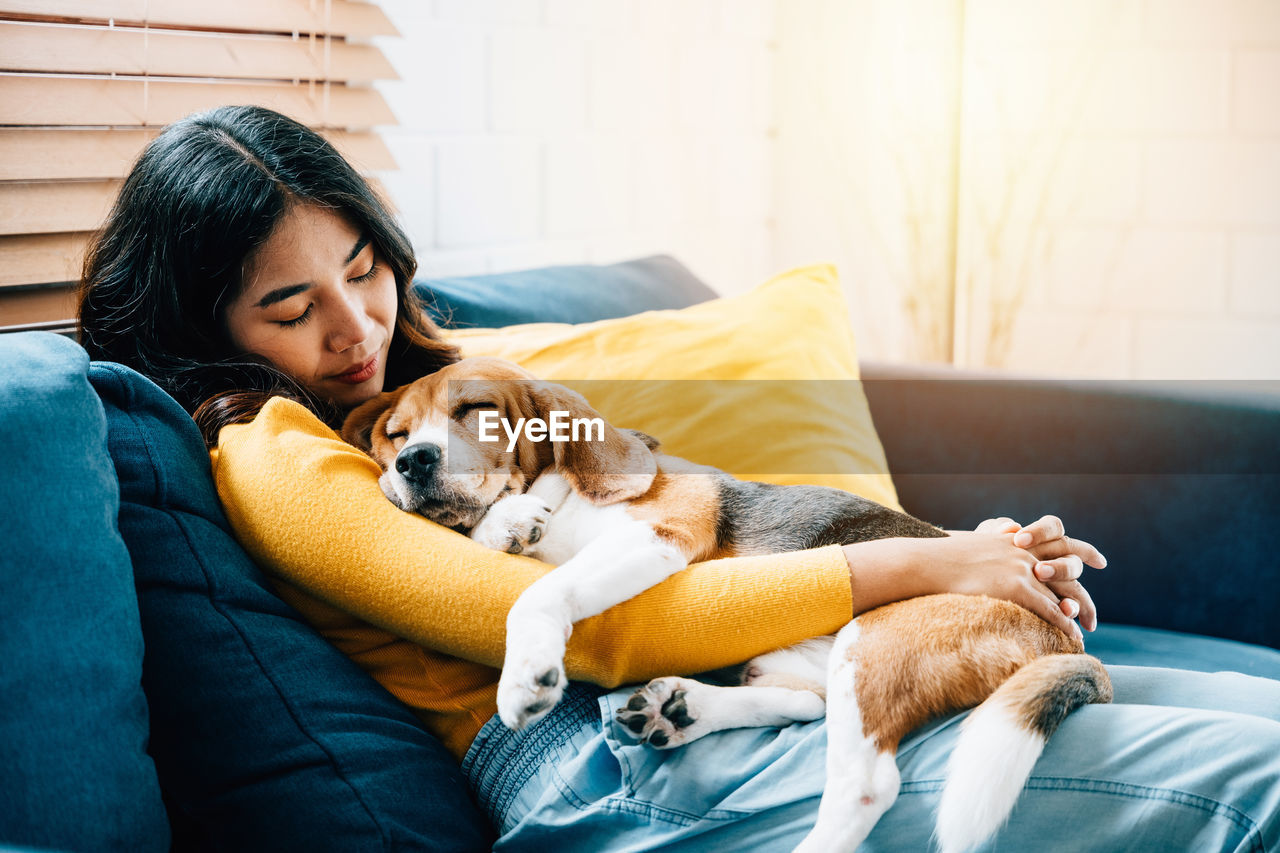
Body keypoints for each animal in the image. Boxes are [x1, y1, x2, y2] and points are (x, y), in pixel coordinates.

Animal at [340, 353, 1111, 850]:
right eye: (396, 433)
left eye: (475, 411)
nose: (413, 463)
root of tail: (1065, 638)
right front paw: (506, 524)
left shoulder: (658, 538)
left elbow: (539, 590)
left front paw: (525, 673)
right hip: (802, 660)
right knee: (803, 705)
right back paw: (682, 710)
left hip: (876, 643)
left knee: (867, 782)